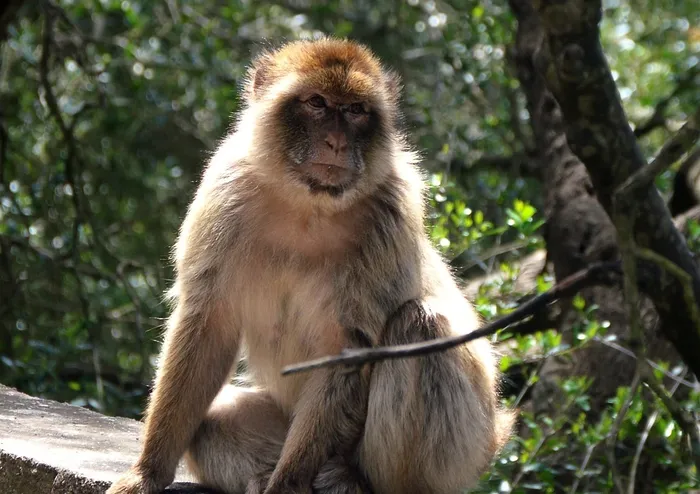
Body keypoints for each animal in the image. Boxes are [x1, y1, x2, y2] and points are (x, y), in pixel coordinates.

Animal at [106, 37, 514, 494]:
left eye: (355, 110)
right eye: (317, 103)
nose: (336, 142)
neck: (308, 205)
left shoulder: (392, 208)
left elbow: (348, 344)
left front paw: (286, 486)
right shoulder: (225, 191)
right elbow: (208, 322)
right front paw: (147, 473)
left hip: (462, 453)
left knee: (420, 326)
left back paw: (354, 478)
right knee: (211, 423)